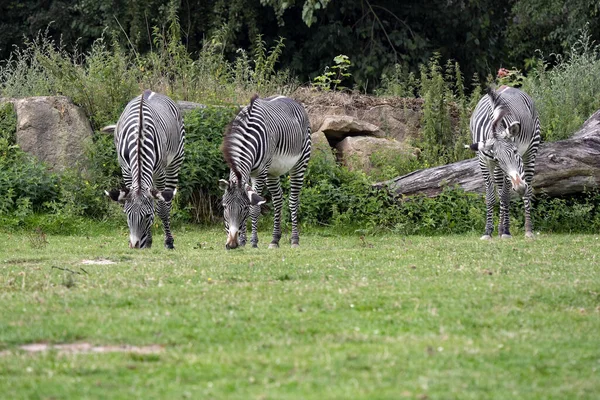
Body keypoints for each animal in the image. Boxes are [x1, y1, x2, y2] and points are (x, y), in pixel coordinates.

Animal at [103, 89, 184, 248]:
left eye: (147, 215)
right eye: (127, 214)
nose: (135, 245)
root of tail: (150, 91)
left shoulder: (160, 173)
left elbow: (161, 208)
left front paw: (167, 242)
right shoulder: (126, 170)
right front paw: (148, 241)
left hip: (174, 163)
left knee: (167, 202)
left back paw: (168, 240)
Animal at [220, 95, 314, 248]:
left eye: (245, 209)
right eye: (224, 207)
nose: (232, 244)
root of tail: (291, 99)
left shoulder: (259, 174)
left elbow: (255, 208)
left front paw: (253, 242)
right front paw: (243, 241)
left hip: (300, 163)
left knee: (293, 200)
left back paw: (295, 240)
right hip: (272, 171)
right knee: (278, 200)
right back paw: (275, 240)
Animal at [468, 85, 544, 239]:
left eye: (515, 151)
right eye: (498, 159)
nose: (520, 187)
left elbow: (505, 195)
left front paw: (506, 231)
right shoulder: (484, 161)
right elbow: (491, 196)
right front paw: (488, 231)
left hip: (531, 151)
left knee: (527, 189)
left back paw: (527, 230)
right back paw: (500, 229)